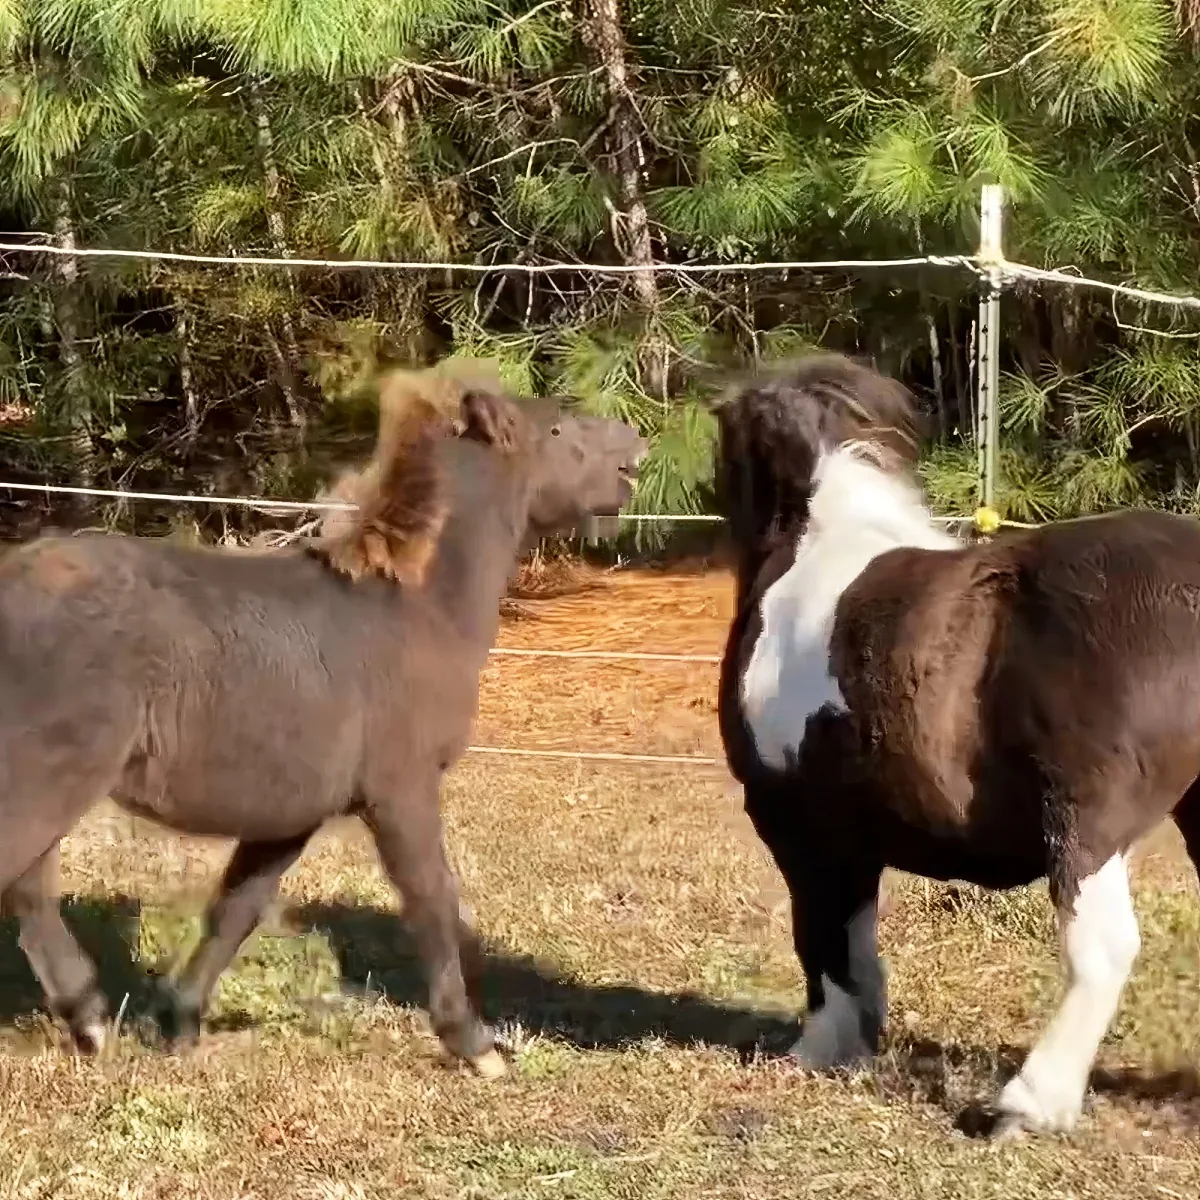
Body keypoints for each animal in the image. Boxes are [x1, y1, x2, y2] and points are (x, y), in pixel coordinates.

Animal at [0, 360, 647, 1078]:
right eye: (556, 428)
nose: (638, 448)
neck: (419, 607)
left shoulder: (290, 813)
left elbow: (237, 908)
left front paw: (181, 1023)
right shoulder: (401, 790)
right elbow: (433, 902)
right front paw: (474, 1043)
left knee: (29, 887)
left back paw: (88, 1019)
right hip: (50, 775)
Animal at [712, 351, 1199, 1138]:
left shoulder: (794, 824)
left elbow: (819, 936)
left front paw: (820, 1047)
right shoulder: (854, 832)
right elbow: (856, 935)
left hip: (1086, 823)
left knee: (1101, 949)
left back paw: (1029, 1104)